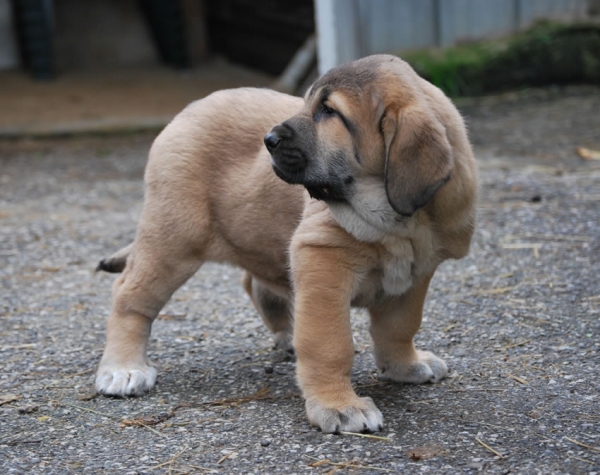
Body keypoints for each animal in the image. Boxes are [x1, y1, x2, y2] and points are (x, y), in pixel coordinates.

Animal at [95, 55, 478, 436]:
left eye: (329, 111)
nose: (268, 139)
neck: (400, 226)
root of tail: (189, 110)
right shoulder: (322, 260)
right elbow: (330, 344)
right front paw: (338, 405)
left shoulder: (414, 275)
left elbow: (399, 326)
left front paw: (404, 366)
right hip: (173, 240)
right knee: (129, 297)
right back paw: (124, 368)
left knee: (257, 284)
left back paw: (288, 334)